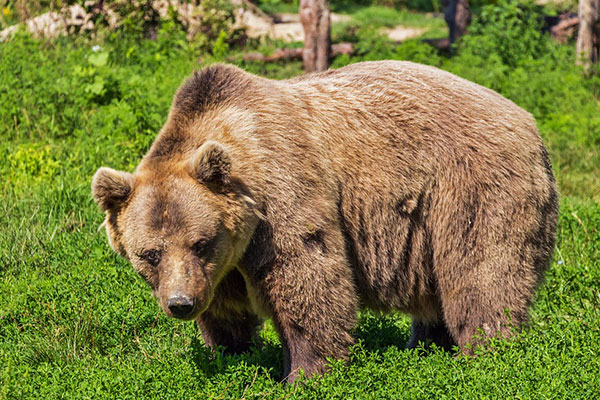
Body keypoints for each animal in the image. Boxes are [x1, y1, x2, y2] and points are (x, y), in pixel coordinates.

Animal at [91, 61, 560, 382]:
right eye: (149, 254)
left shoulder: (282, 196)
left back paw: (487, 353)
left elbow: (308, 278)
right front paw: (232, 353)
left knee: (482, 273)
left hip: (470, 187)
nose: (180, 304)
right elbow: (226, 311)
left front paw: (305, 373)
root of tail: (529, 122)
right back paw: (426, 347)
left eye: (200, 241)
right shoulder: (222, 265)